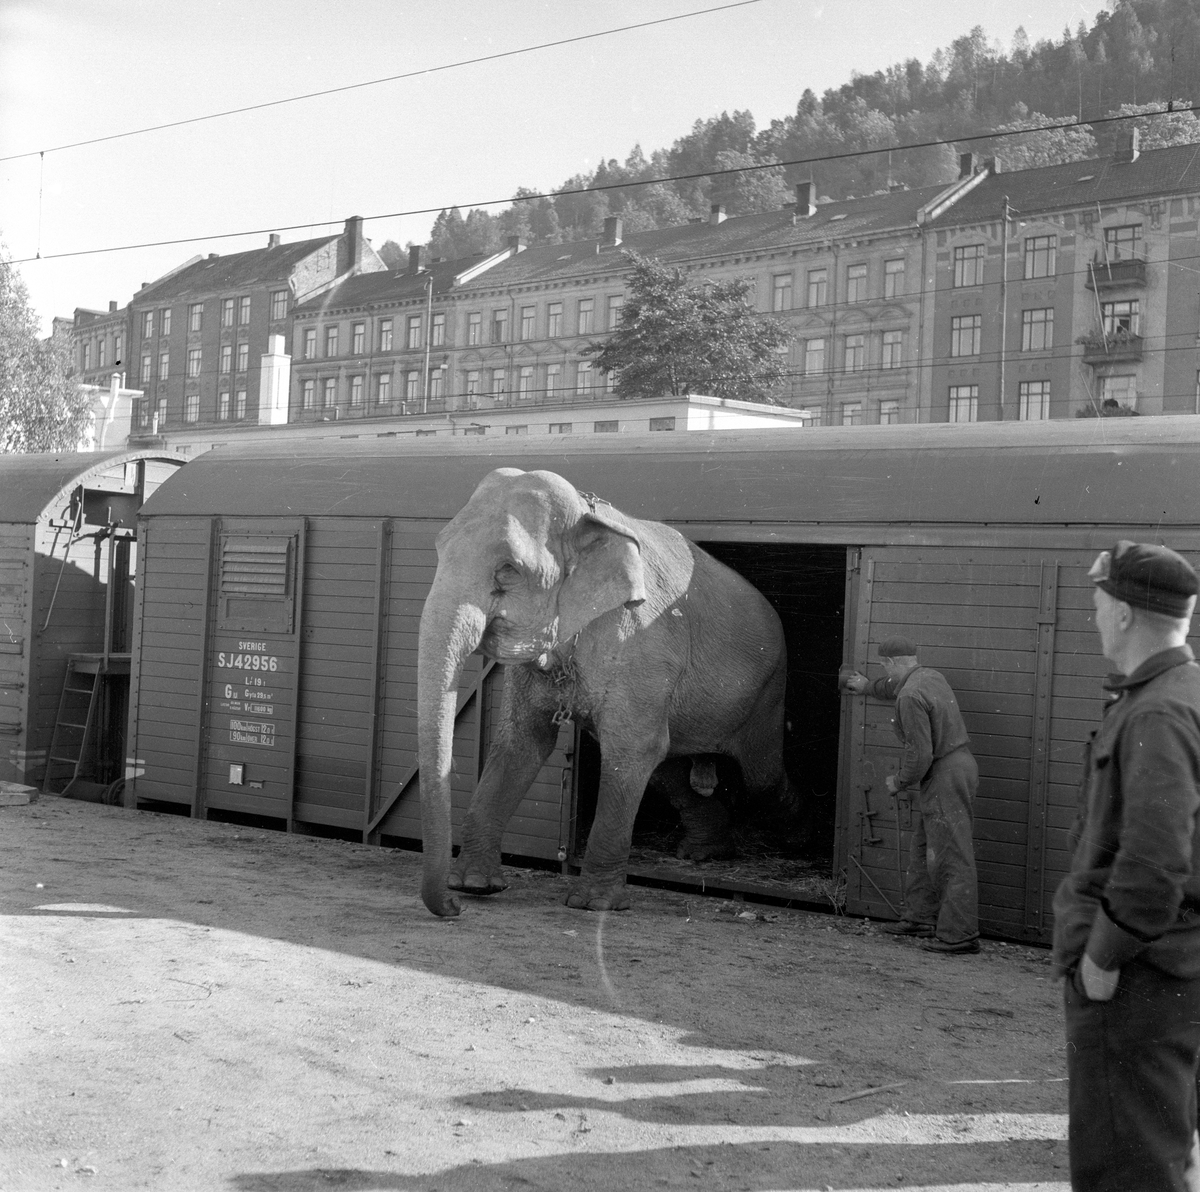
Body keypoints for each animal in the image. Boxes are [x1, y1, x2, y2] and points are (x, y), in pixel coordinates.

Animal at [415, 470, 796, 917]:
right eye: (439, 548)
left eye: (508, 570)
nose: (453, 908)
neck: (588, 515)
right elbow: (522, 743)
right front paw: (475, 885)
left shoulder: (641, 643)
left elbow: (628, 748)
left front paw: (592, 904)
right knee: (667, 766)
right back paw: (703, 854)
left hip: (769, 690)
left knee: (760, 777)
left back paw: (794, 845)